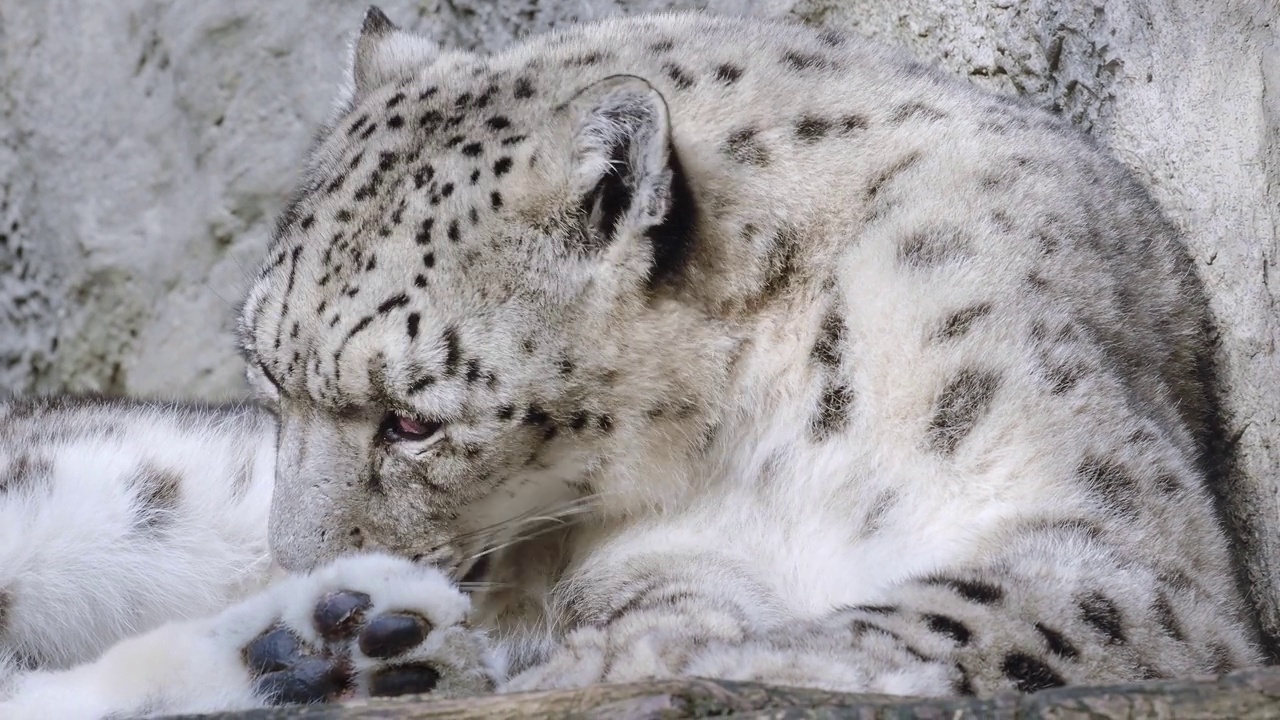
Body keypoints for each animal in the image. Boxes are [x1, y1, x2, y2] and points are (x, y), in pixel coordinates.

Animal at [0, 7, 1259, 717]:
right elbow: (677, 597)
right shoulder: (652, 554)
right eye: (268, 380)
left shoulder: (1102, 531)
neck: (763, 440)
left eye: (412, 420)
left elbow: (955, 608)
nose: (291, 558)